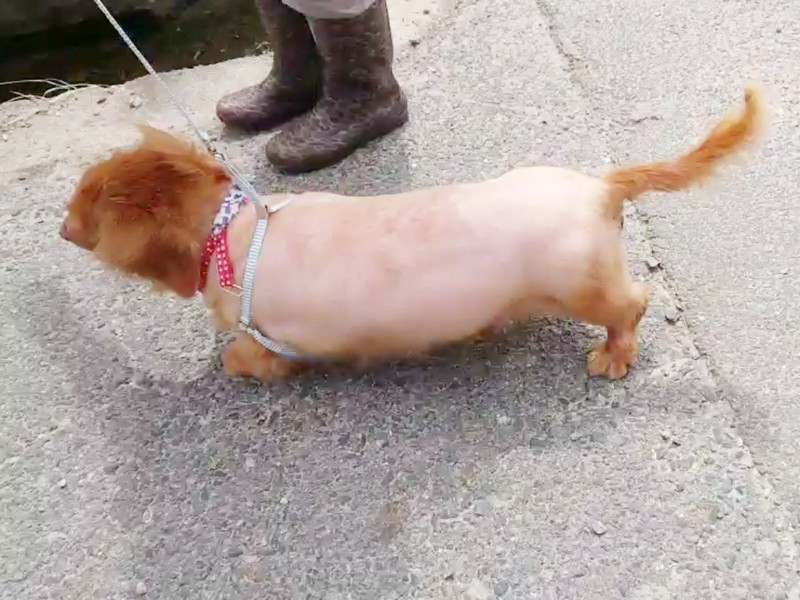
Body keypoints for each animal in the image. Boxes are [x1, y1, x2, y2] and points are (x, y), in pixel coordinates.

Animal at [60, 86, 764, 381]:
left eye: (85, 200)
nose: (60, 229)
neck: (232, 228)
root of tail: (599, 188)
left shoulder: (274, 344)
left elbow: (243, 359)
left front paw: (230, 362)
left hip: (582, 286)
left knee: (633, 305)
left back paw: (613, 357)